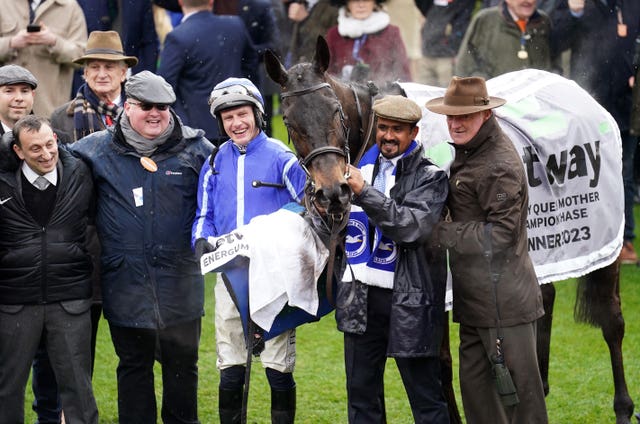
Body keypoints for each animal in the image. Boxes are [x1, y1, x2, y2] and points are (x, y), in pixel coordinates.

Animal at [264, 36, 636, 424]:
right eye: (288, 120)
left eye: (335, 111)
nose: (333, 192)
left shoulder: (437, 290)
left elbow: (438, 363)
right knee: (542, 300)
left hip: (604, 239)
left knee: (611, 320)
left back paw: (623, 407)